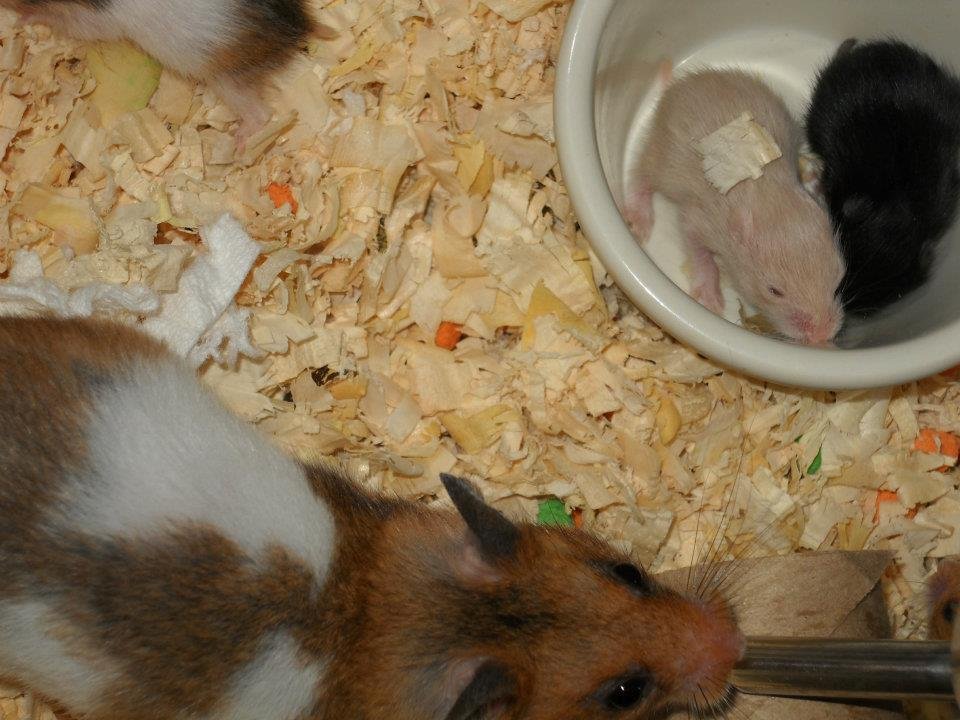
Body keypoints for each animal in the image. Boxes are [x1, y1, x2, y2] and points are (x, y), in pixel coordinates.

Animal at [0, 0, 336, 144]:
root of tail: (298, 27)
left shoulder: (94, 22)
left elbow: (57, 19)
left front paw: (22, 17)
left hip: (226, 79)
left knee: (260, 114)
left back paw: (237, 143)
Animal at [626, 69, 845, 346]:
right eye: (774, 291)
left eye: (838, 281)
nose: (821, 336)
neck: (769, 196)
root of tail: (676, 87)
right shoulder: (700, 220)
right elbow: (698, 250)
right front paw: (711, 300)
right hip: (663, 159)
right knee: (642, 174)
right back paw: (638, 219)